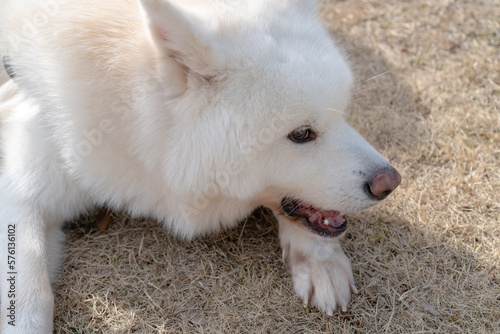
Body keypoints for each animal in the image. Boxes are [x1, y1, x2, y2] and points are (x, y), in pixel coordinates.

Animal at [0, 0, 400, 332]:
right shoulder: (27, 185)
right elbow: (29, 289)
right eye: (302, 133)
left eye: (343, 113)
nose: (391, 182)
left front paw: (320, 260)